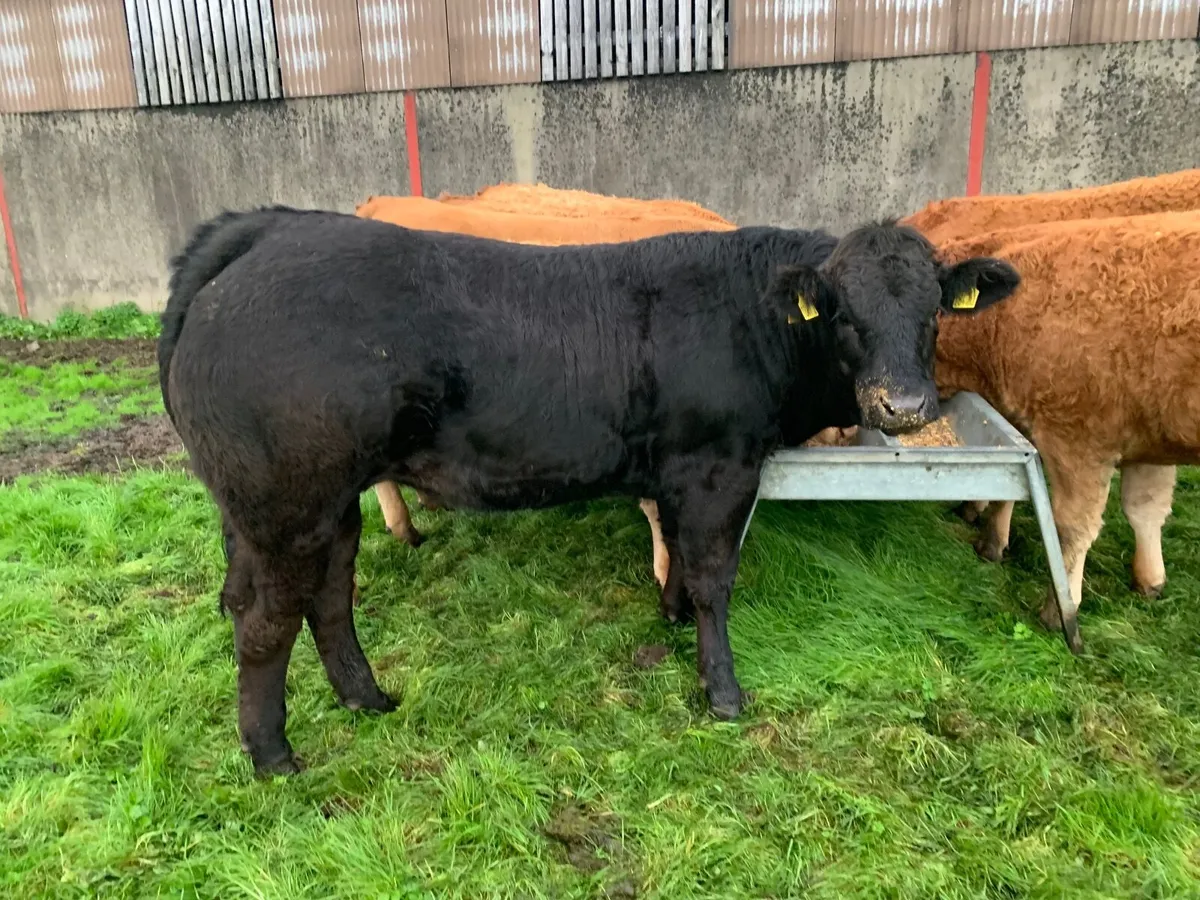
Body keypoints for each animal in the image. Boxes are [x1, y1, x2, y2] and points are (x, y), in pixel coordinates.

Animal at [157, 206, 1019, 775]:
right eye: (841, 310)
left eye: (934, 310)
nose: (902, 406)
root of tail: (271, 233)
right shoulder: (718, 468)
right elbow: (714, 577)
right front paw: (722, 690)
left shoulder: (681, 475)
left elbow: (679, 562)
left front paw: (673, 623)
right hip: (286, 504)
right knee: (266, 623)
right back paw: (273, 756)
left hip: (321, 506)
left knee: (326, 599)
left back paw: (367, 699)